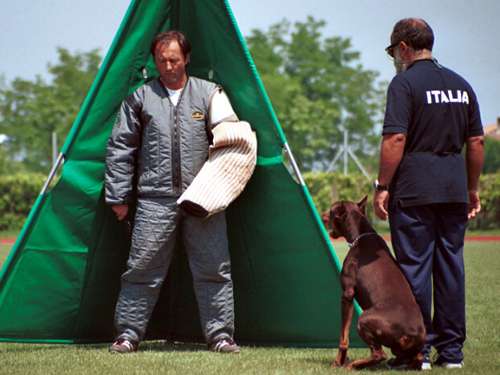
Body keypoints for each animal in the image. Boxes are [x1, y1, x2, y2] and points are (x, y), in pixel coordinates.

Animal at [324, 198, 426, 372]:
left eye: (331, 211)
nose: (323, 216)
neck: (360, 235)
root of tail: (413, 334)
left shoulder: (347, 294)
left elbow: (343, 338)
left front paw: (337, 363)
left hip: (364, 318)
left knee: (379, 354)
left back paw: (354, 365)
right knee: (415, 357)